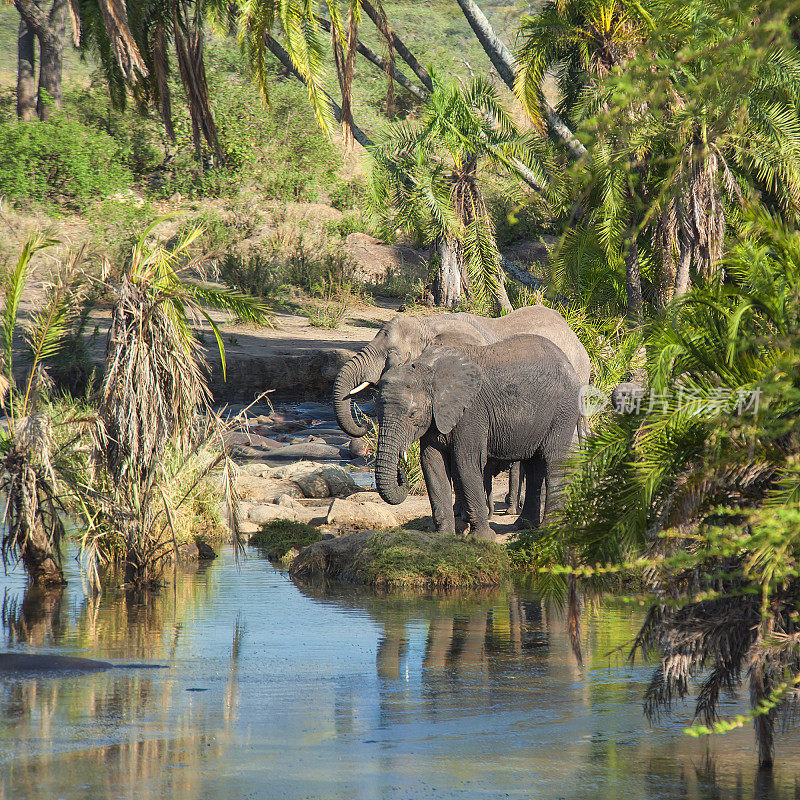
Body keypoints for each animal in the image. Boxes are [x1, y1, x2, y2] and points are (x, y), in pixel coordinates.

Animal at [376, 334, 580, 540]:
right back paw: (523, 525)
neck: (429, 370)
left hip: (564, 408)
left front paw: (481, 538)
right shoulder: (435, 416)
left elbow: (466, 462)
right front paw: (444, 536)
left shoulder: (471, 412)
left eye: (413, 414)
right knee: (534, 464)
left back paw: (549, 527)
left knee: (552, 459)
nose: (400, 471)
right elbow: (432, 463)